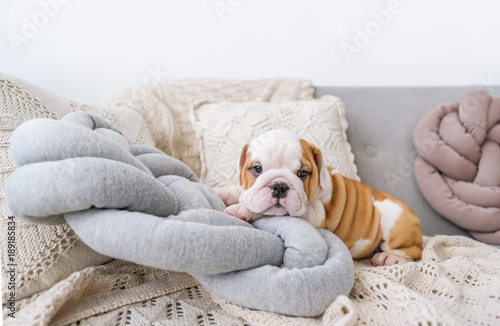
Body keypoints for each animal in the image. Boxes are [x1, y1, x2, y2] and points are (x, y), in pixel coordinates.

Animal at [217, 131, 424, 268]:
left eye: (302, 173)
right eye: (257, 169)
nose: (280, 186)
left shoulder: (314, 214)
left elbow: (266, 211)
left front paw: (243, 209)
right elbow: (241, 191)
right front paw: (223, 193)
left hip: (394, 218)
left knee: (412, 251)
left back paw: (390, 258)